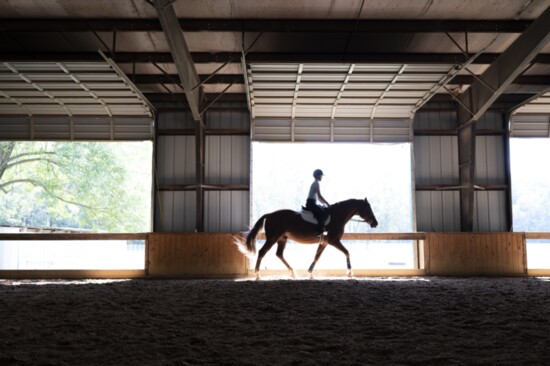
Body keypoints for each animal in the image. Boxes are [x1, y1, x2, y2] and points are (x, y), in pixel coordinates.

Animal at [239, 197, 378, 280]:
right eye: (368, 208)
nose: (375, 223)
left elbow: (317, 256)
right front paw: (349, 273)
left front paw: (310, 272)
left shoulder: (325, 242)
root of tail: (270, 214)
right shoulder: (333, 241)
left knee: (279, 254)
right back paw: (257, 275)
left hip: (282, 239)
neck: (337, 215)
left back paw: (293, 273)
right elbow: (347, 252)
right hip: (272, 238)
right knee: (262, 252)